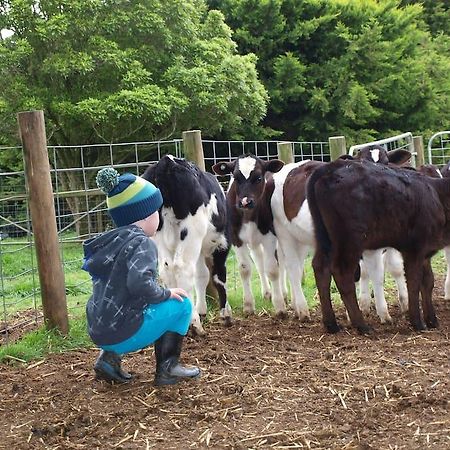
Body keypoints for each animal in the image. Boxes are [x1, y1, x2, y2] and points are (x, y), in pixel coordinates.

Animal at [142, 155, 230, 334]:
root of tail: (166, 161)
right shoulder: (222, 244)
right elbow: (219, 276)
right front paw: (225, 314)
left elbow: (202, 275)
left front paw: (202, 310)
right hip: (191, 232)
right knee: (182, 269)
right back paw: (194, 323)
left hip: (158, 234)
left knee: (167, 269)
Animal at [308, 159, 444, 334]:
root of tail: (331, 166)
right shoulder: (414, 249)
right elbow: (414, 282)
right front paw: (418, 322)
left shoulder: (424, 252)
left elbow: (428, 281)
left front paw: (431, 319)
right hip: (350, 240)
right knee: (342, 272)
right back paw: (362, 325)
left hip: (325, 237)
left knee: (321, 267)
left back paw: (331, 324)